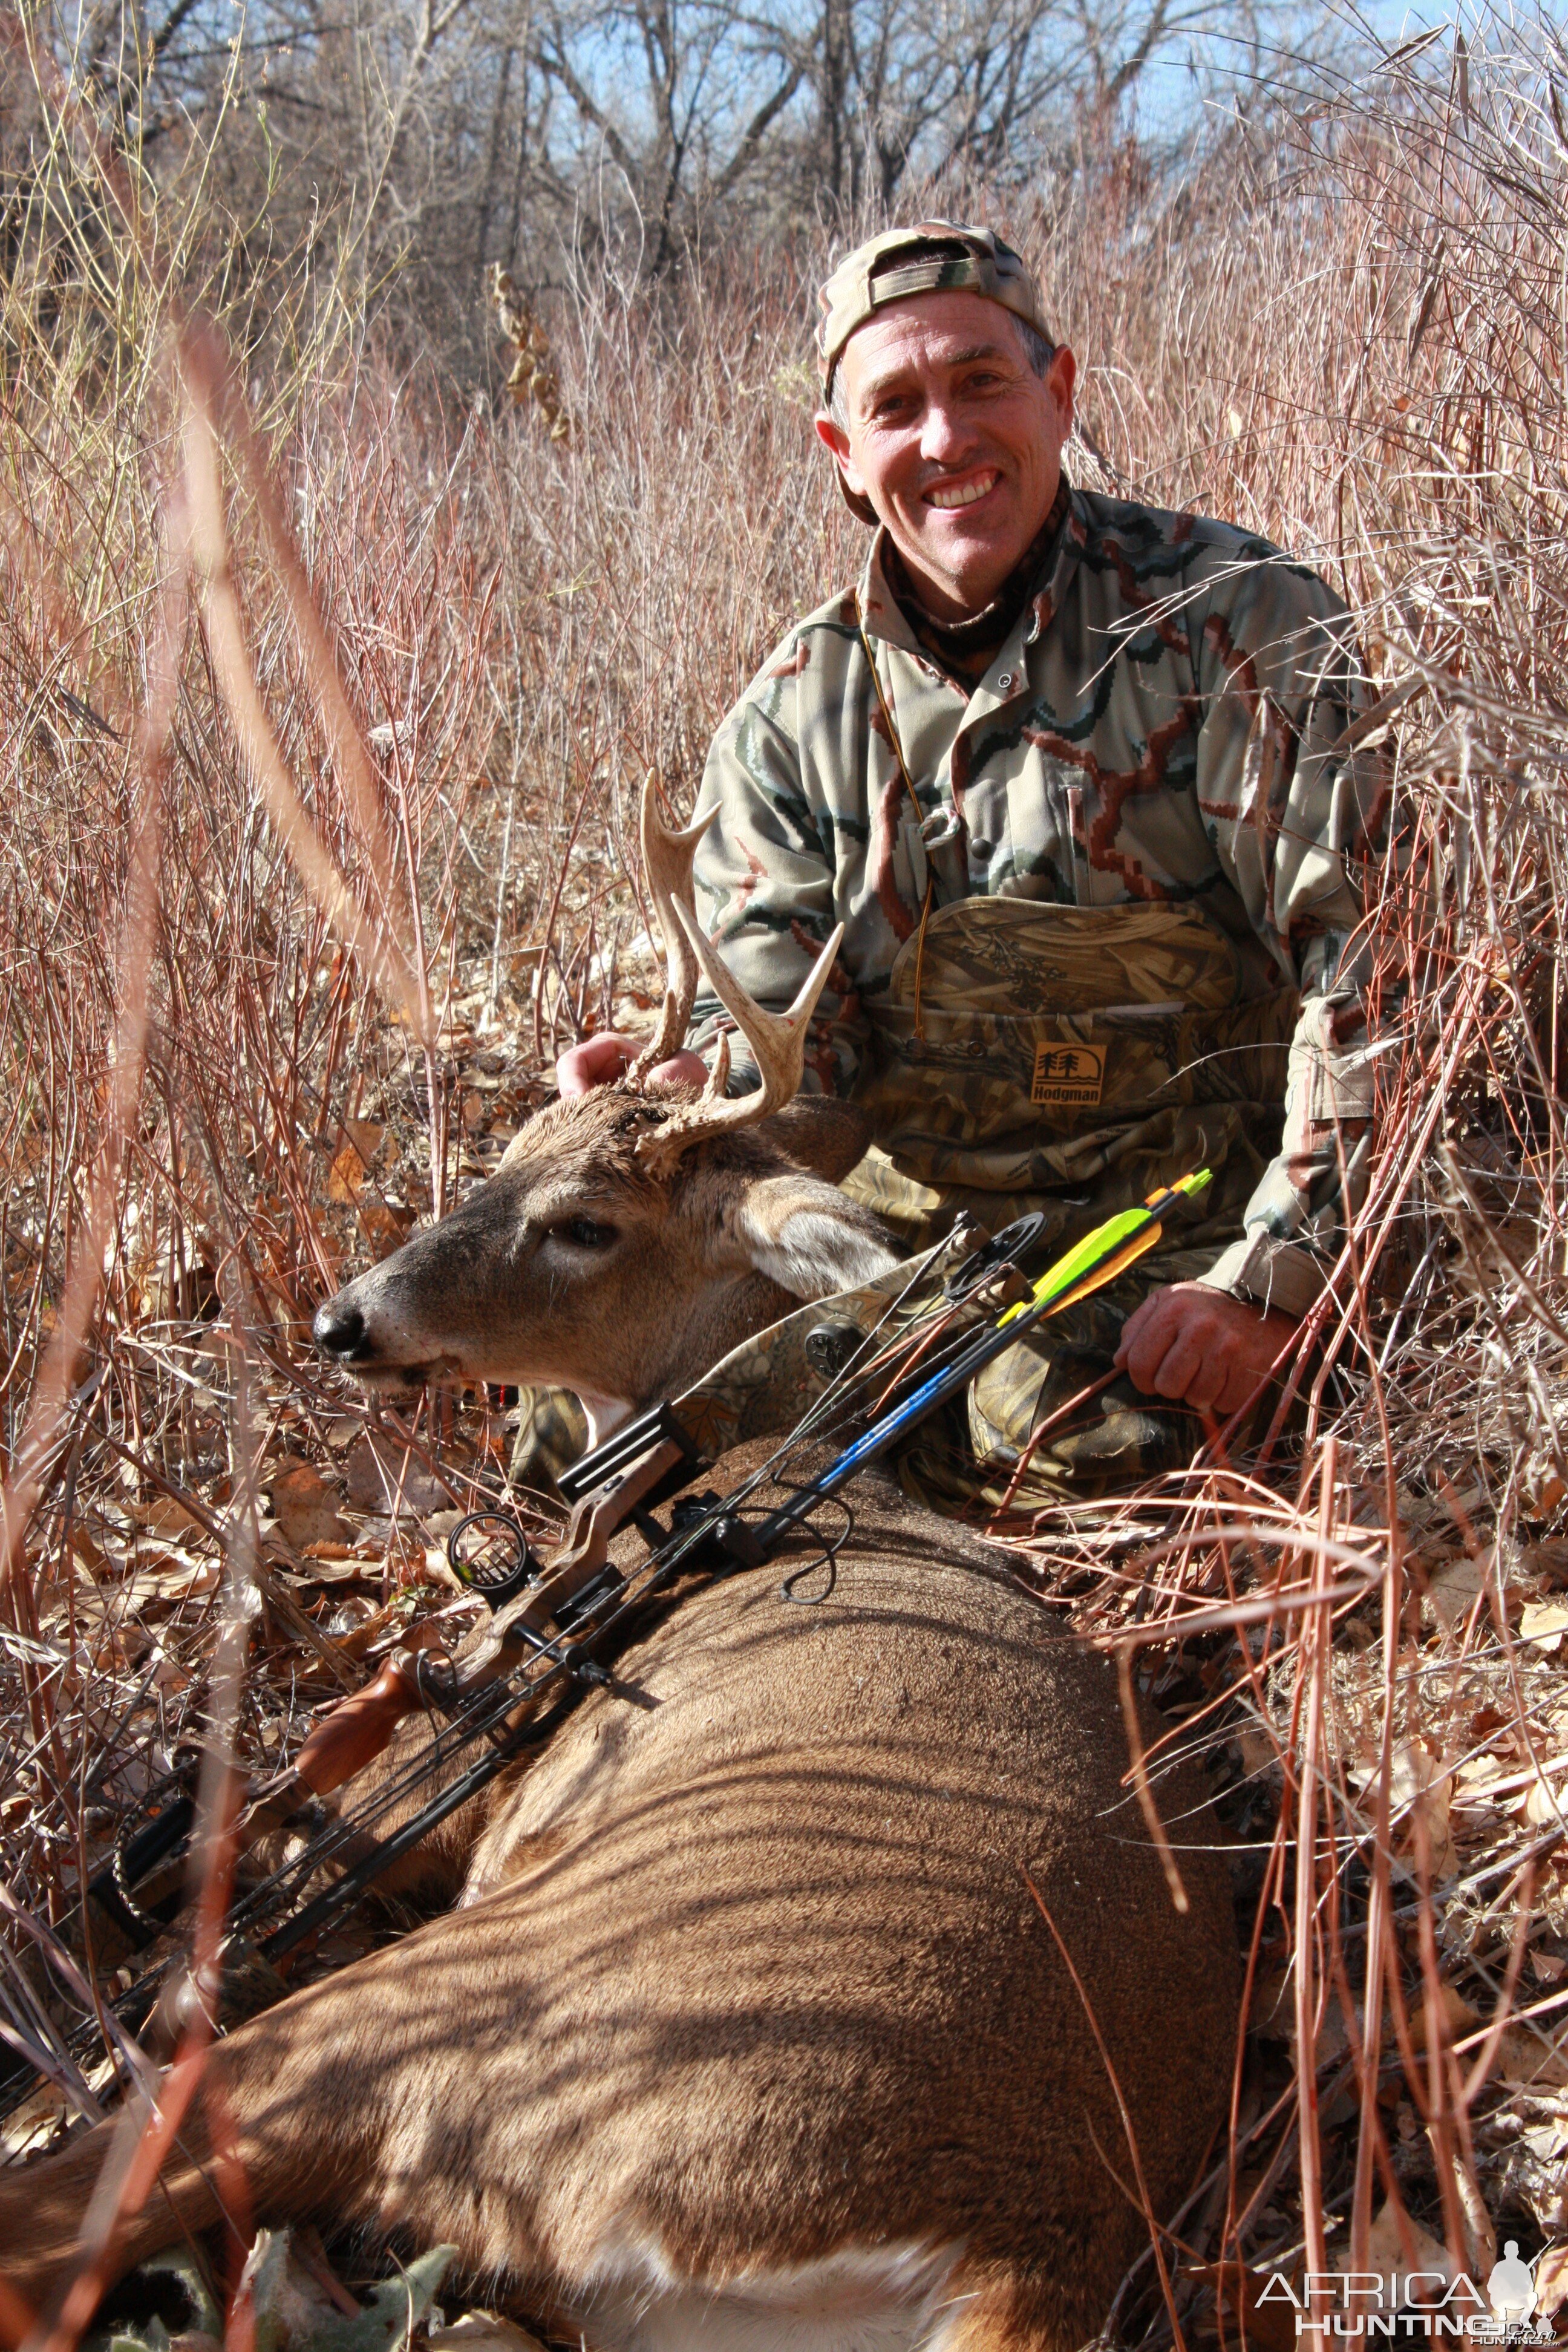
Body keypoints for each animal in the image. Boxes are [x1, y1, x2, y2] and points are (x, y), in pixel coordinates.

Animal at [3, 785, 1250, 2352]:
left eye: (587, 1222)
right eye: (514, 1143)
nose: (348, 1318)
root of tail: (1020, 2249)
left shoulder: (445, 1742)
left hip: (472, 2008)